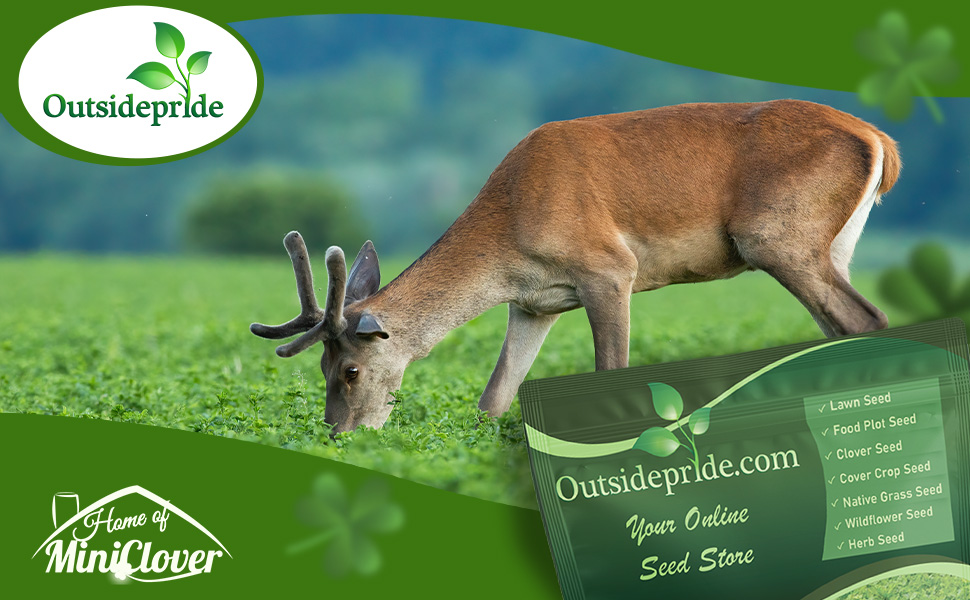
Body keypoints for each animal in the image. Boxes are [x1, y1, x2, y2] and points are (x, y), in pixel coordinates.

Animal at [251, 99, 900, 434]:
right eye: (320, 368)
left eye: (350, 370)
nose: (339, 432)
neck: (509, 237)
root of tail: (880, 140)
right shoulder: (535, 303)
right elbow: (495, 396)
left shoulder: (610, 269)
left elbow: (610, 369)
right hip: (833, 245)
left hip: (777, 236)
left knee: (864, 319)